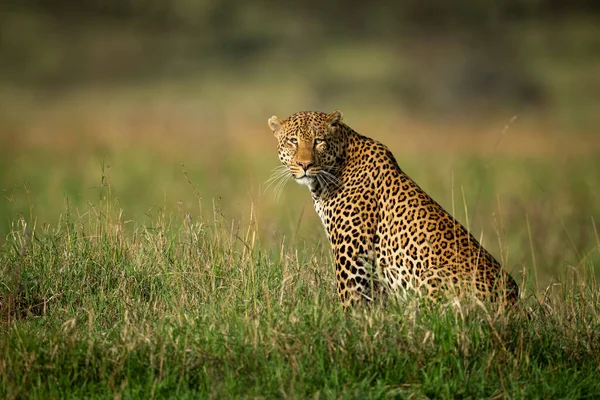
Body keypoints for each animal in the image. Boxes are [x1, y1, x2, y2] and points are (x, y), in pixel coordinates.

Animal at [268, 110, 520, 310]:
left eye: (319, 140)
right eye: (293, 141)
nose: (305, 165)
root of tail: (514, 305)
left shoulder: (352, 252)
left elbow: (350, 298)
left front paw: (349, 327)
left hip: (431, 277)